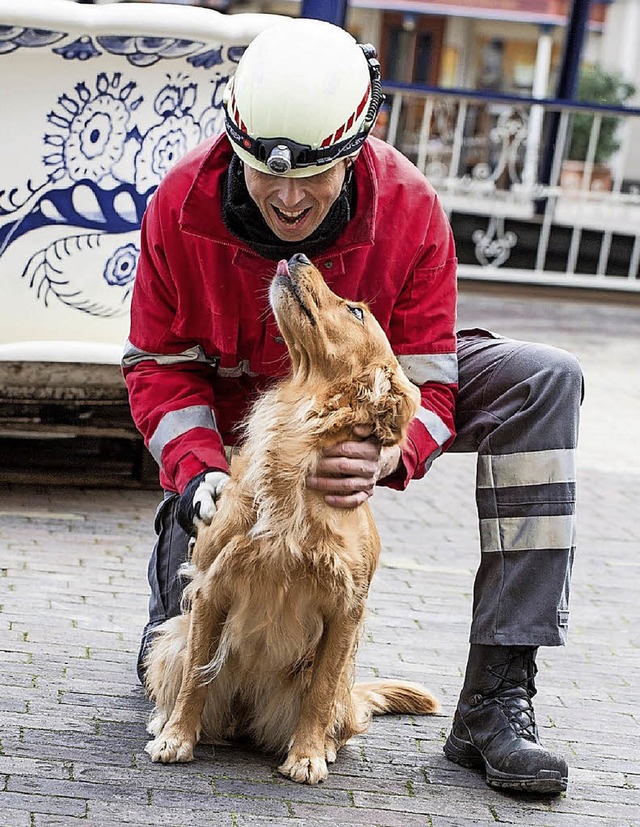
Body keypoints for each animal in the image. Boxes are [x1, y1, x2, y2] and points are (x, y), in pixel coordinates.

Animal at [142, 252, 438, 784]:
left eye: (356, 311)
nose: (298, 256)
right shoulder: (212, 586)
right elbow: (197, 675)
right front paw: (177, 738)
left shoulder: (346, 608)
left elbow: (319, 692)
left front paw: (306, 756)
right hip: (170, 636)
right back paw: (165, 721)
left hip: (344, 685)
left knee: (337, 709)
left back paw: (325, 746)